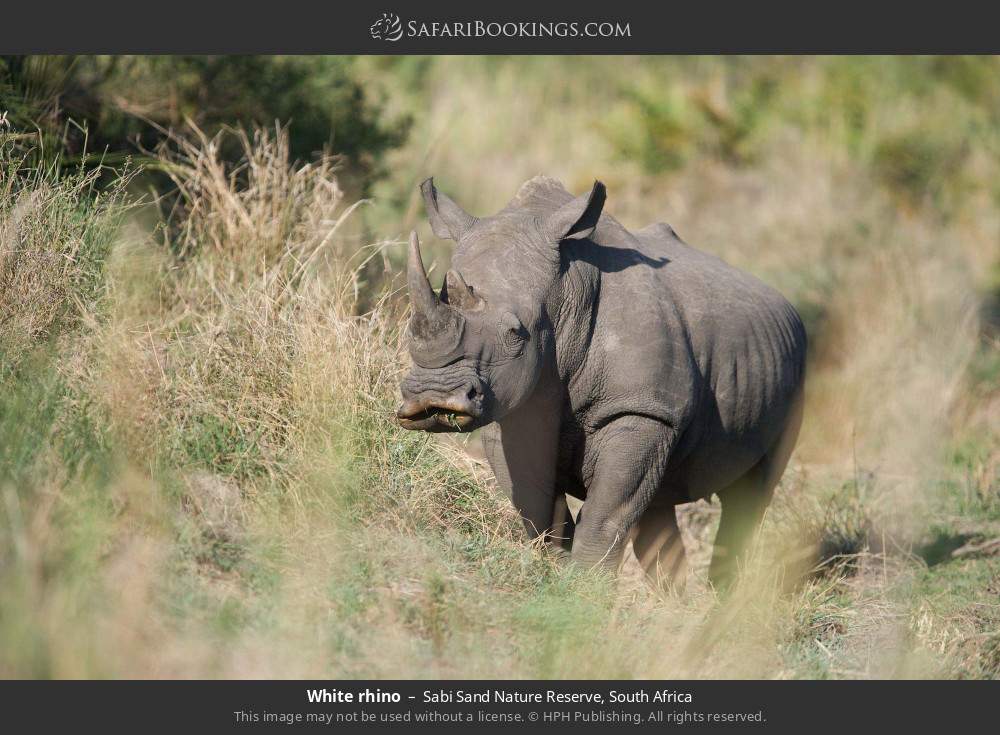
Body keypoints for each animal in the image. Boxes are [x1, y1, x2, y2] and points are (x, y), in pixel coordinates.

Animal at [396, 176, 806, 589]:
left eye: (516, 333)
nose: (434, 400)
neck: (567, 289)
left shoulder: (642, 409)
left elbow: (606, 516)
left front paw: (585, 592)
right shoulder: (511, 411)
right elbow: (537, 511)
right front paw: (556, 579)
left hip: (793, 370)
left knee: (749, 496)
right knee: (657, 507)